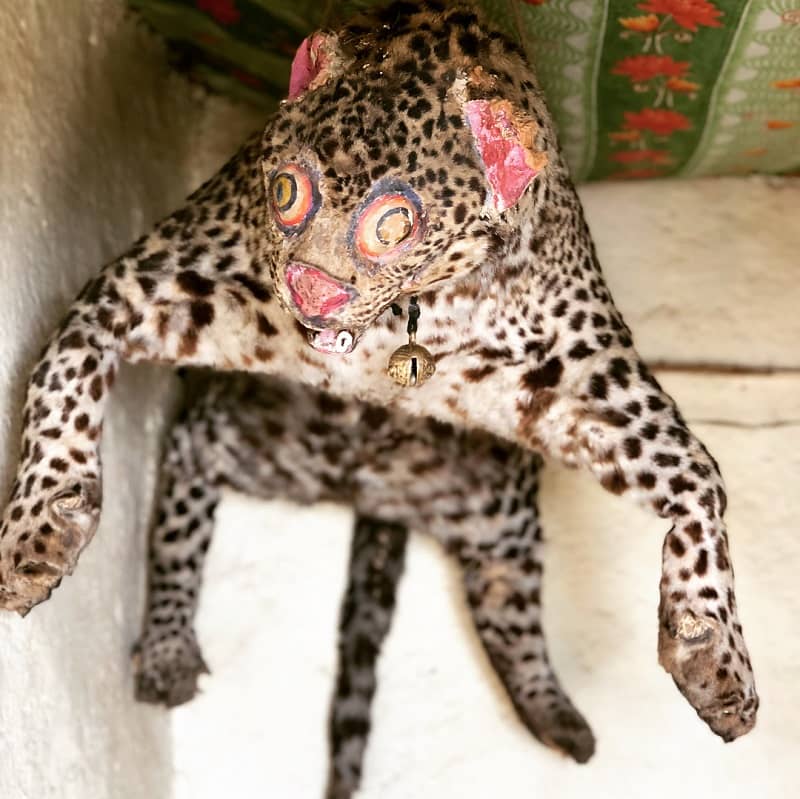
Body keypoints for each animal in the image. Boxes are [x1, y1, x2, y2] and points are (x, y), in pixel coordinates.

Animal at [0, 0, 760, 752]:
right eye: (287, 190)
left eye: (392, 224)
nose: (311, 286)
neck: (400, 318)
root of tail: (371, 494)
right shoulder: (157, 282)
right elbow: (66, 359)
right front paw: (37, 538)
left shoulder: (584, 374)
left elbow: (697, 475)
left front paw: (717, 663)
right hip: (232, 439)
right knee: (178, 524)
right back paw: (164, 651)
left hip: (498, 518)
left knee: (508, 607)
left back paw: (559, 720)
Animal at [131, 374, 592, 799]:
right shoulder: (204, 444)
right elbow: (177, 543)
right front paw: (167, 652)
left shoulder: (505, 535)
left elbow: (516, 628)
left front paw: (550, 709)